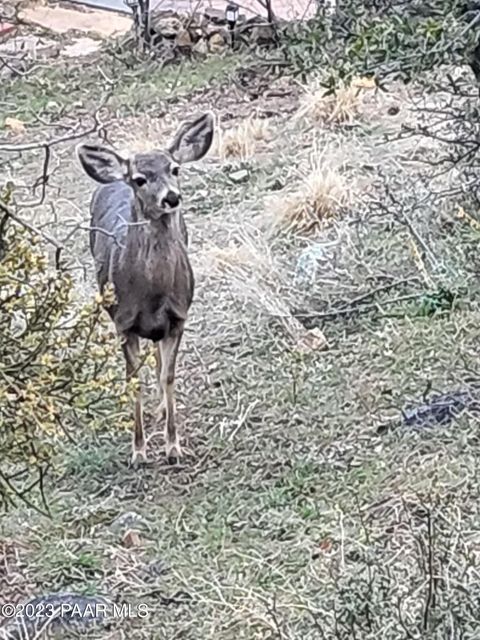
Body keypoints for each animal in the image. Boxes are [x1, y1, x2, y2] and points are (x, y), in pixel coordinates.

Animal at [76, 111, 214, 464]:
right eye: (140, 179)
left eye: (174, 169)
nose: (171, 197)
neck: (151, 295)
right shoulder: (123, 323)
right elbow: (133, 381)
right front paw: (138, 452)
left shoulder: (178, 317)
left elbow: (168, 375)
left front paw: (173, 446)